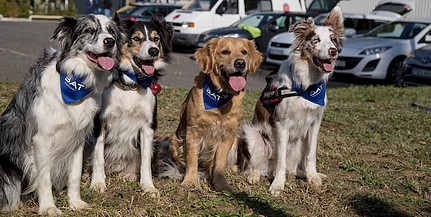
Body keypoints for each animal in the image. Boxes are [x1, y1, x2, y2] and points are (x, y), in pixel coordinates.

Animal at [90, 16, 173, 198]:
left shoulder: (148, 126)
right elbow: (98, 155)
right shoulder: (100, 122)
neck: (130, 86)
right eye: (136, 38)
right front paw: (97, 183)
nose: (154, 51)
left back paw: (129, 175)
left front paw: (148, 186)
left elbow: (146, 161)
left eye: (156, 39)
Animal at [163, 37, 262, 192]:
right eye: (225, 52)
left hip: (236, 141)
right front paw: (189, 181)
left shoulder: (228, 134)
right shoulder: (193, 131)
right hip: (174, 139)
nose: (240, 63)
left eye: (244, 52)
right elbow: (192, 159)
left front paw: (221, 184)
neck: (219, 97)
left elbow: (219, 163)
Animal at [233, 5, 344, 195]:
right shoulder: (281, 124)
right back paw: (254, 175)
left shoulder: (315, 123)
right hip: (252, 136)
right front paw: (278, 184)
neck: (306, 84)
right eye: (315, 40)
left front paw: (313, 177)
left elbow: (311, 155)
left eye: (333, 40)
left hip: (298, 144)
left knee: (293, 168)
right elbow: (281, 161)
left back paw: (307, 174)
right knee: (256, 166)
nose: (333, 51)